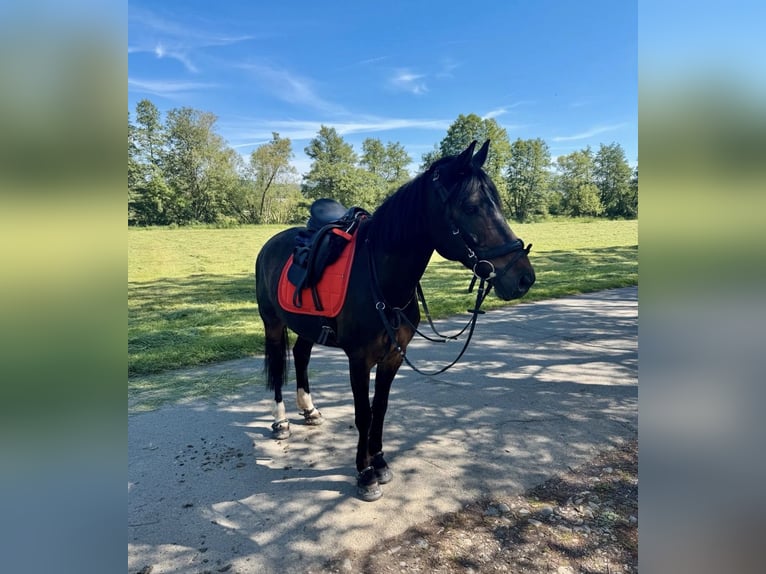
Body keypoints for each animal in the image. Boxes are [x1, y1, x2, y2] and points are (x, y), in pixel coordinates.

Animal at [255, 140, 535, 501]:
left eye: (497, 203)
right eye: (472, 207)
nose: (524, 278)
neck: (382, 278)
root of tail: (270, 244)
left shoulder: (393, 358)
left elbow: (381, 409)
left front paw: (380, 461)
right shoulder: (359, 360)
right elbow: (363, 413)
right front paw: (365, 474)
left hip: (307, 326)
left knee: (301, 355)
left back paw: (310, 410)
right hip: (273, 323)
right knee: (278, 367)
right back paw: (281, 422)